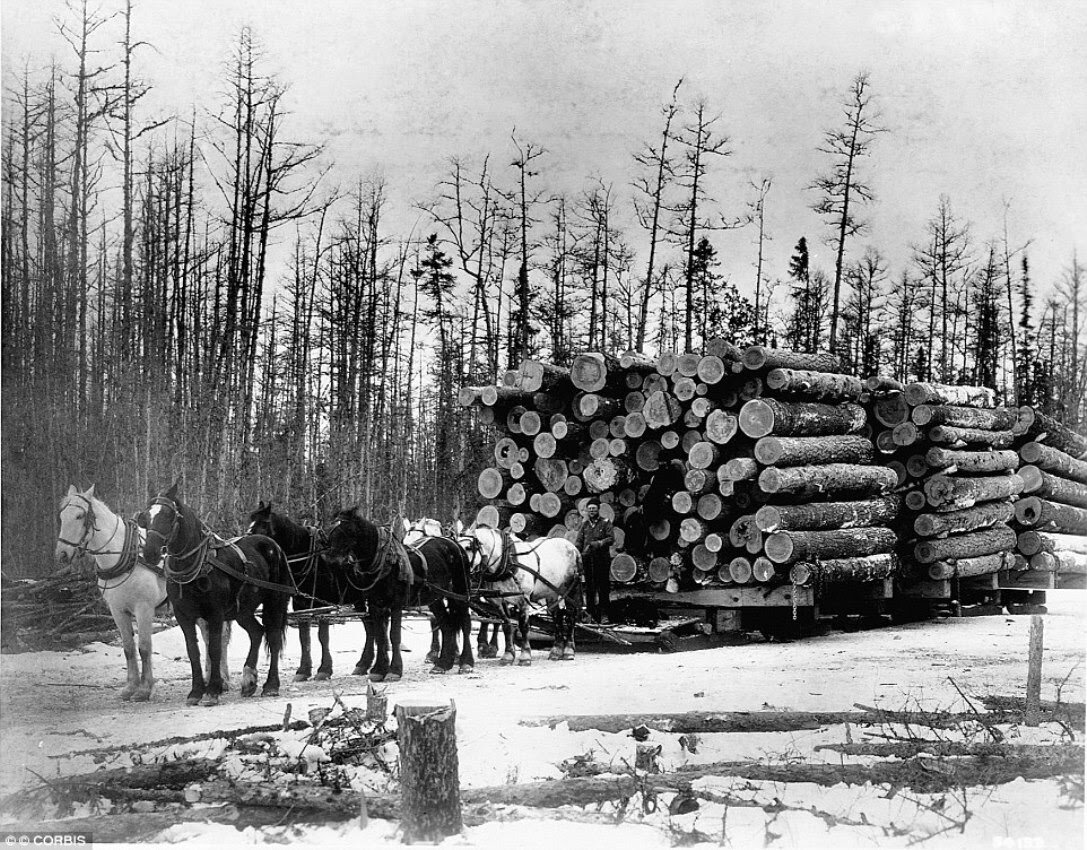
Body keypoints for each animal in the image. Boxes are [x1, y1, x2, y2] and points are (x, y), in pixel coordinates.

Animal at [56, 489, 230, 704]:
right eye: (62, 516)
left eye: (80, 516)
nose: (62, 554)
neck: (124, 556)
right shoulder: (117, 611)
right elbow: (128, 648)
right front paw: (130, 687)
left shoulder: (144, 608)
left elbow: (145, 647)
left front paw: (145, 689)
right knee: (208, 637)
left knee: (218, 638)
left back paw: (223, 681)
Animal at [140, 482, 293, 708]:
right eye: (146, 516)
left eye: (169, 515)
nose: (150, 552)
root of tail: (273, 545)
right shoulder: (184, 616)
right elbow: (193, 651)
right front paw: (196, 691)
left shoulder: (215, 614)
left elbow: (214, 649)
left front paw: (213, 691)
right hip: (242, 610)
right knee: (257, 632)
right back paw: (249, 681)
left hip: (275, 601)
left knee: (272, 637)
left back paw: (271, 685)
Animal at [323, 508, 473, 682]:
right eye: (332, 530)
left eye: (348, 530)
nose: (331, 560)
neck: (385, 563)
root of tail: (454, 543)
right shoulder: (375, 604)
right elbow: (380, 636)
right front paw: (378, 670)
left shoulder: (396, 604)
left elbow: (394, 635)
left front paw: (394, 670)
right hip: (435, 597)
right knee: (446, 624)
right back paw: (442, 664)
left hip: (460, 591)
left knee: (465, 623)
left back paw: (466, 663)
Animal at [456, 528, 582, 669]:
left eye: (468, 547)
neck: (507, 562)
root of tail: (572, 546)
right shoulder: (499, 601)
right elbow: (506, 626)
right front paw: (508, 656)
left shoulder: (523, 600)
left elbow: (524, 627)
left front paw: (525, 656)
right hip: (552, 593)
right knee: (557, 616)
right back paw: (556, 650)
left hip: (571, 590)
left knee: (570, 617)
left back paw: (569, 651)